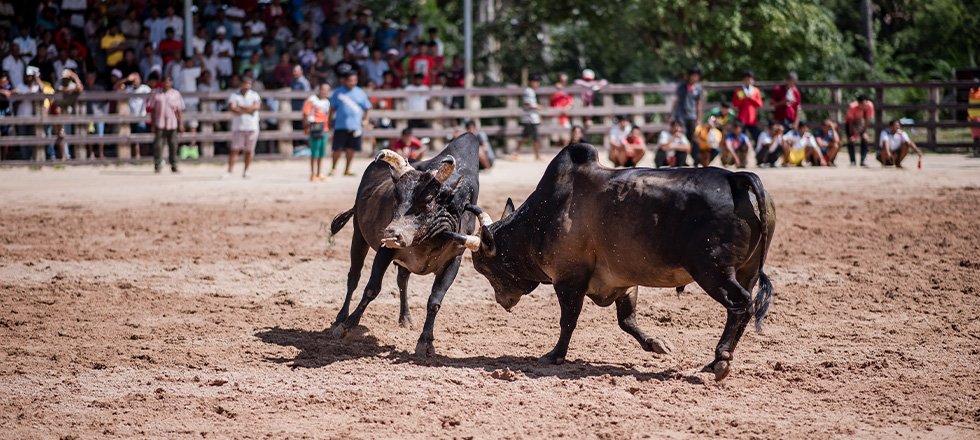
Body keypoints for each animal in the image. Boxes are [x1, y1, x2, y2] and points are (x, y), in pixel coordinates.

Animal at [328, 132, 484, 356]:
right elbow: (371, 288)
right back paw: (341, 316)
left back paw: (406, 318)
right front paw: (347, 326)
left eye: (429, 198)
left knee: (402, 281)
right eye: (396, 195)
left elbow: (434, 301)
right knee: (354, 278)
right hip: (358, 236)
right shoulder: (385, 250)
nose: (392, 233)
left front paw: (425, 342)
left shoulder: (454, 261)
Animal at [464, 143, 776, 380]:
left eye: (485, 268)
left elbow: (568, 321)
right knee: (743, 309)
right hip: (745, 272)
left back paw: (721, 359)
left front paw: (555, 355)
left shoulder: (568, 280)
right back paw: (715, 361)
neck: (542, 217)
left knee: (740, 305)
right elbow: (627, 321)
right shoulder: (624, 282)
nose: (502, 302)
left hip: (713, 272)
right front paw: (656, 343)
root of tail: (735, 179)